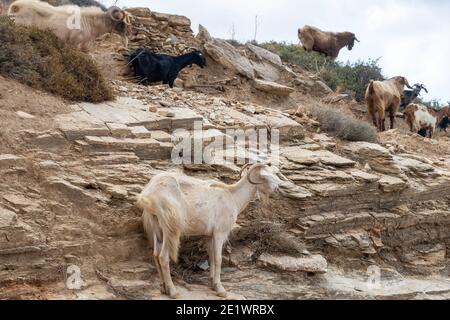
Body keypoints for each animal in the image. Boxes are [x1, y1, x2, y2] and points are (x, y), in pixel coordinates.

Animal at [139, 164, 284, 298]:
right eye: (265, 176)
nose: (277, 189)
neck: (233, 196)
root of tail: (147, 195)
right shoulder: (220, 233)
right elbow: (218, 258)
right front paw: (221, 289)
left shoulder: (209, 235)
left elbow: (211, 257)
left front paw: (213, 283)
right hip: (169, 228)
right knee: (163, 257)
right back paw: (173, 291)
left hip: (157, 229)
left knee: (155, 255)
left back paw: (163, 288)